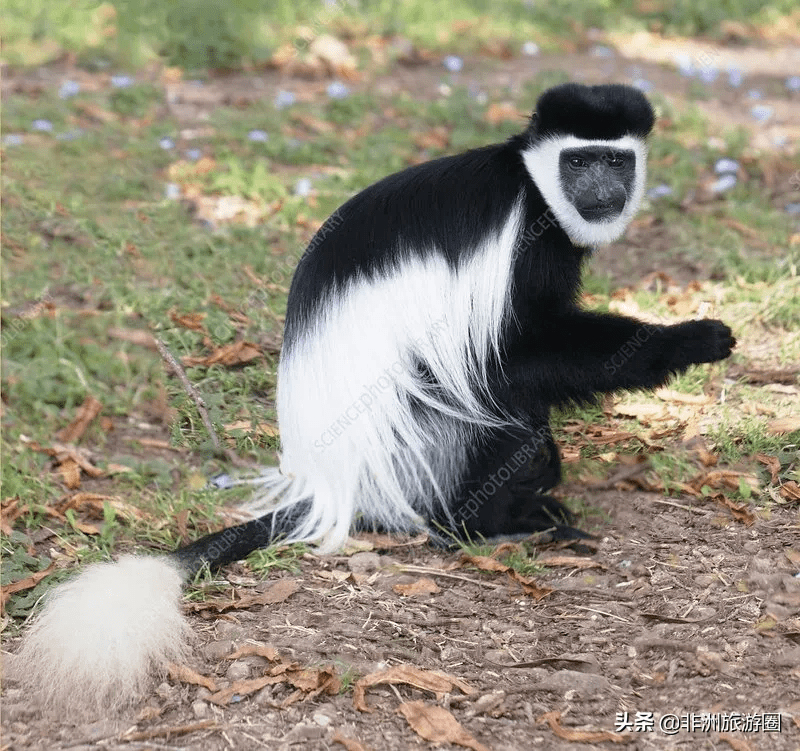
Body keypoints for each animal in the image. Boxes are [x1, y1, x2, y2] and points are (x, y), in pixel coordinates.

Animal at [14, 82, 736, 712]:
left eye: (616, 158)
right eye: (579, 159)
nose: (601, 189)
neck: (532, 186)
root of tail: (334, 483)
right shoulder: (522, 242)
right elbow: (510, 356)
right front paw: (689, 340)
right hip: (413, 430)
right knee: (488, 398)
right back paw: (489, 523)